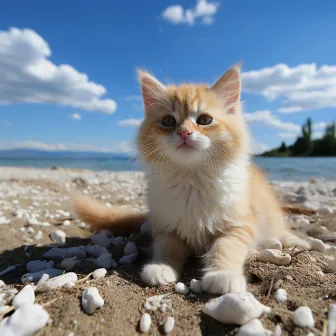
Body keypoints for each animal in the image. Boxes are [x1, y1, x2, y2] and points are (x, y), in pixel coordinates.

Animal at [74, 65, 310, 294]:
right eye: (168, 121)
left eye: (204, 120)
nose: (185, 133)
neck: (191, 178)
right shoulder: (166, 228)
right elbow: (168, 249)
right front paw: (161, 268)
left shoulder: (239, 226)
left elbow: (225, 249)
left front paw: (222, 275)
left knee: (281, 232)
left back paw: (297, 241)